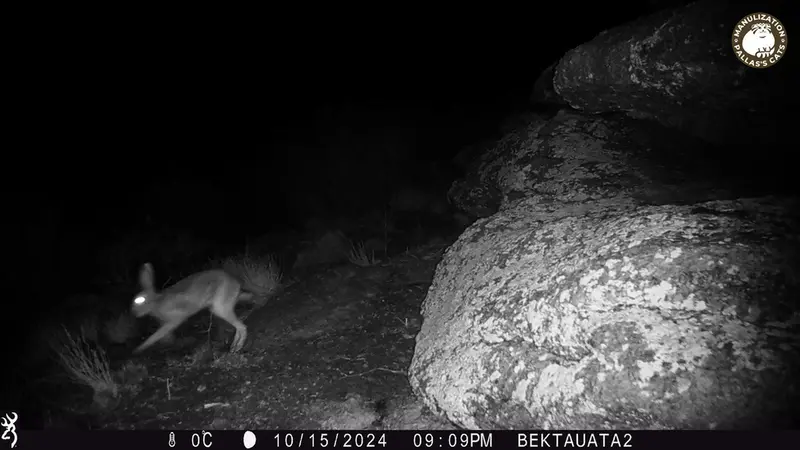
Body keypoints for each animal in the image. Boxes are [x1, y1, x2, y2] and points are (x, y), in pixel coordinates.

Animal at [131, 262, 260, 354]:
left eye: (140, 300)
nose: (134, 313)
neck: (156, 302)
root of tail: (236, 283)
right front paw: (168, 342)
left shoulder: (174, 319)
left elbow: (157, 334)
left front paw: (139, 349)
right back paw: (233, 347)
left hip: (221, 307)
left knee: (242, 326)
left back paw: (237, 347)